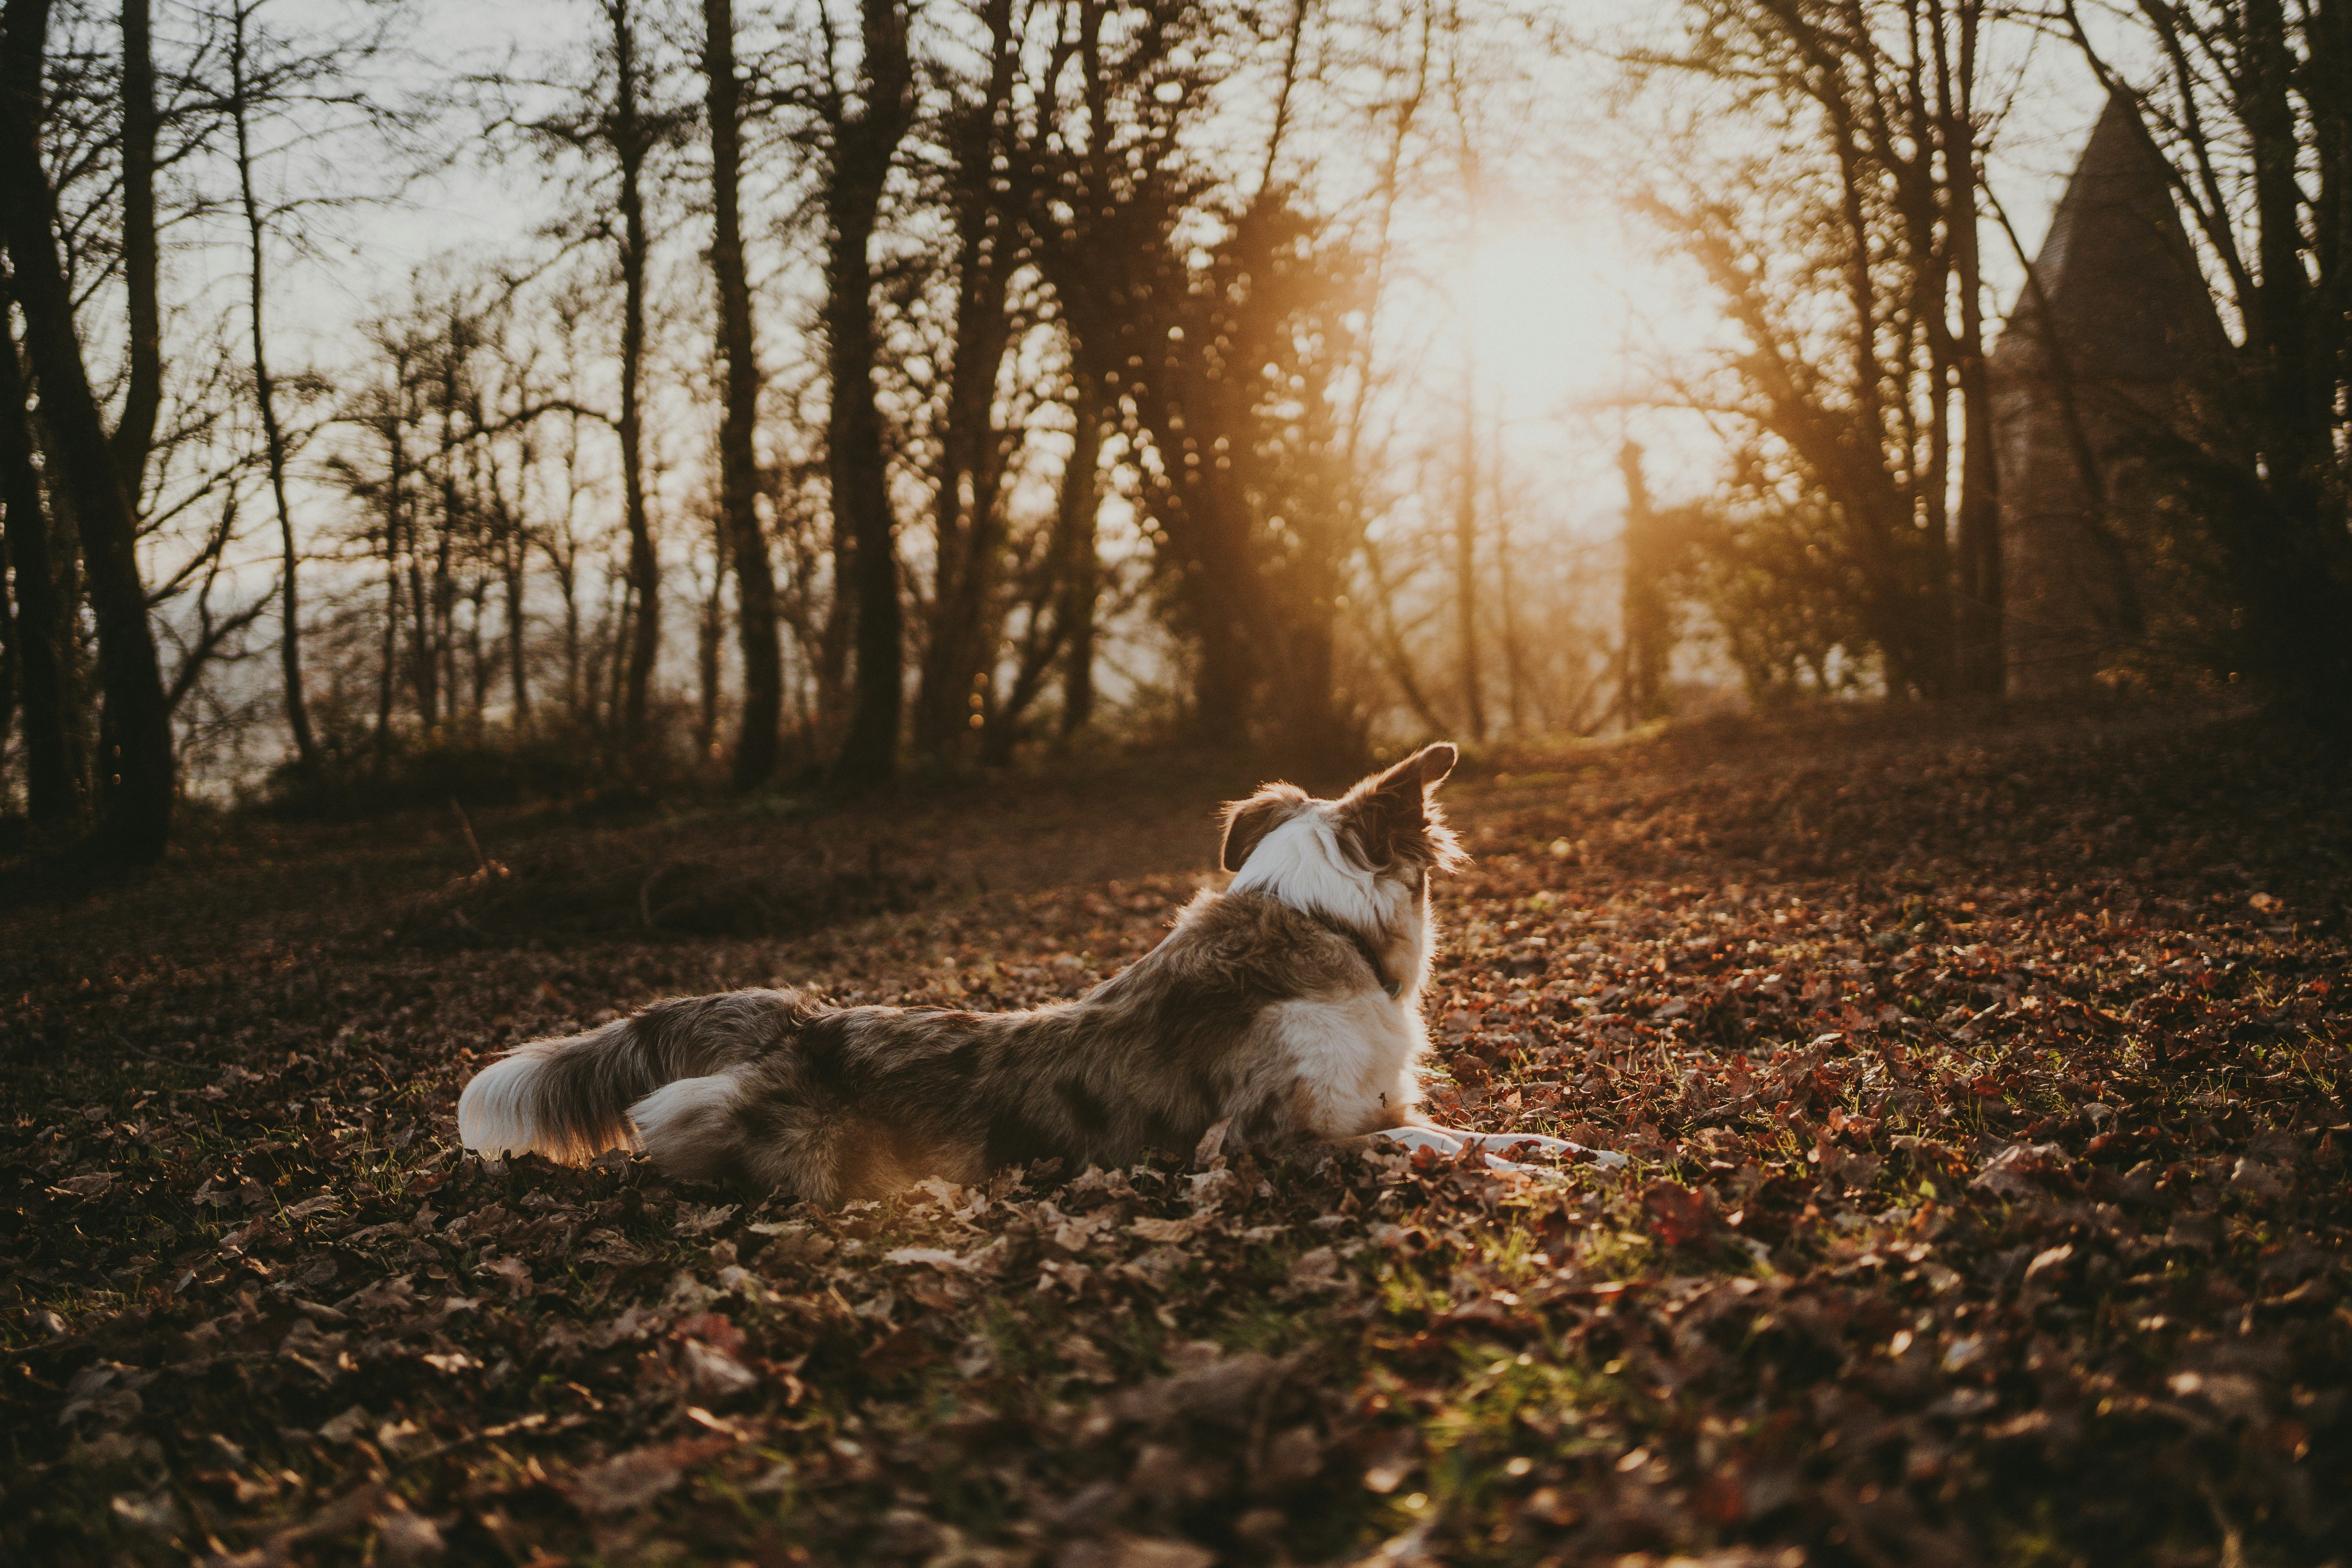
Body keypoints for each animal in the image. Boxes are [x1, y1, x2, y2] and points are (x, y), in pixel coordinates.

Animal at [452, 743, 1628, 1213]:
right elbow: (1413, 1155)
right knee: (675, 1122)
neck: (1318, 924)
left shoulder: (1376, 1106)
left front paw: (1579, 1154)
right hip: (776, 1133)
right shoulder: (1259, 1141)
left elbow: (1467, 1133)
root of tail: (799, 1021)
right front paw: (1520, 1184)